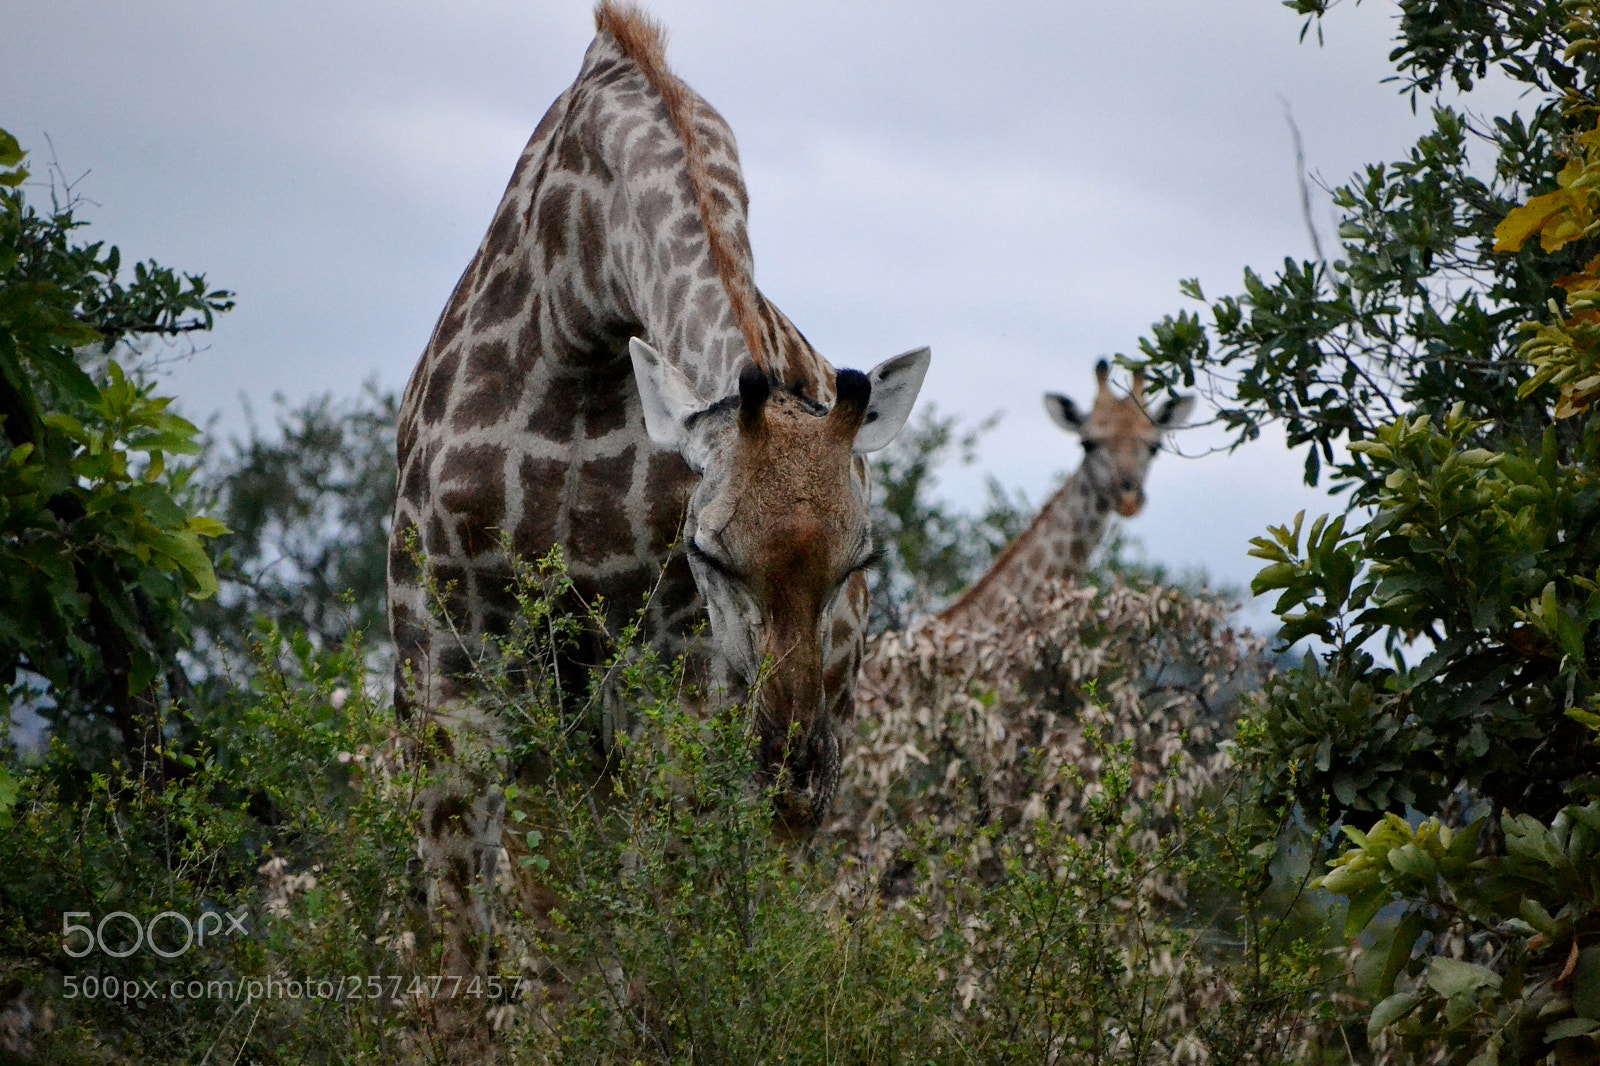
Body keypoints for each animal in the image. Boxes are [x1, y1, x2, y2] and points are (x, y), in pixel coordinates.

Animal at [385, 0, 929, 1038]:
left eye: (859, 559)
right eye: (709, 552)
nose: (789, 758)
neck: (578, 310)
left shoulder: (675, 677)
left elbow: (653, 950)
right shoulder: (449, 665)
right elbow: (469, 962)